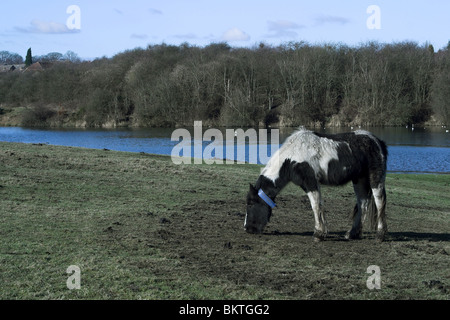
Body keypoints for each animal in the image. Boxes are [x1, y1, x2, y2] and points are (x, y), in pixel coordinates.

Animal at [244, 126, 388, 241]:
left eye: (250, 204)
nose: (247, 228)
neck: (291, 157)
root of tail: (377, 141)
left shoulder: (310, 182)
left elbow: (315, 205)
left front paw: (318, 234)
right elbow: (319, 204)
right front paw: (322, 232)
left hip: (376, 180)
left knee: (379, 202)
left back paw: (380, 235)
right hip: (359, 180)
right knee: (363, 203)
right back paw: (352, 234)